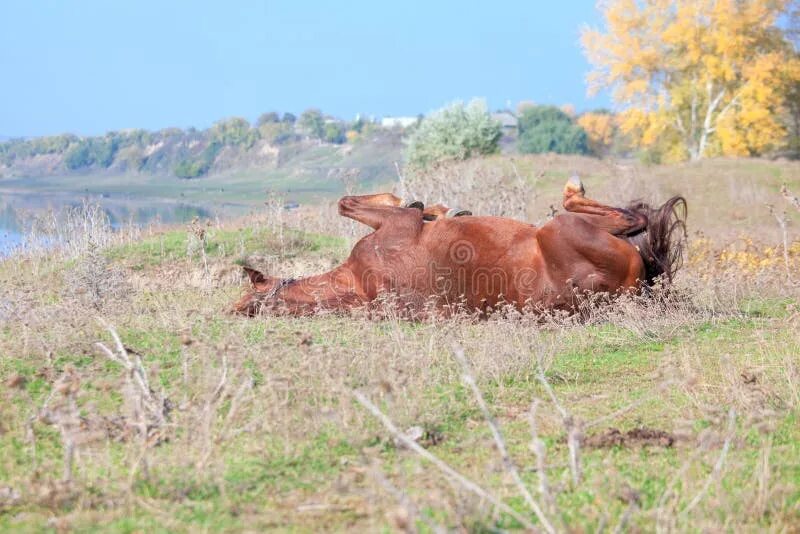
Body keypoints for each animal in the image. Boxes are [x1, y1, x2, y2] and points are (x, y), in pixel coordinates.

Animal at [233, 178, 688, 318]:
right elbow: (349, 203)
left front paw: (436, 208)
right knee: (631, 219)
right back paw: (573, 190)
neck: (359, 284)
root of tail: (633, 288)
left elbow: (348, 203)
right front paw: (427, 206)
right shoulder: (396, 227)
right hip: (561, 227)